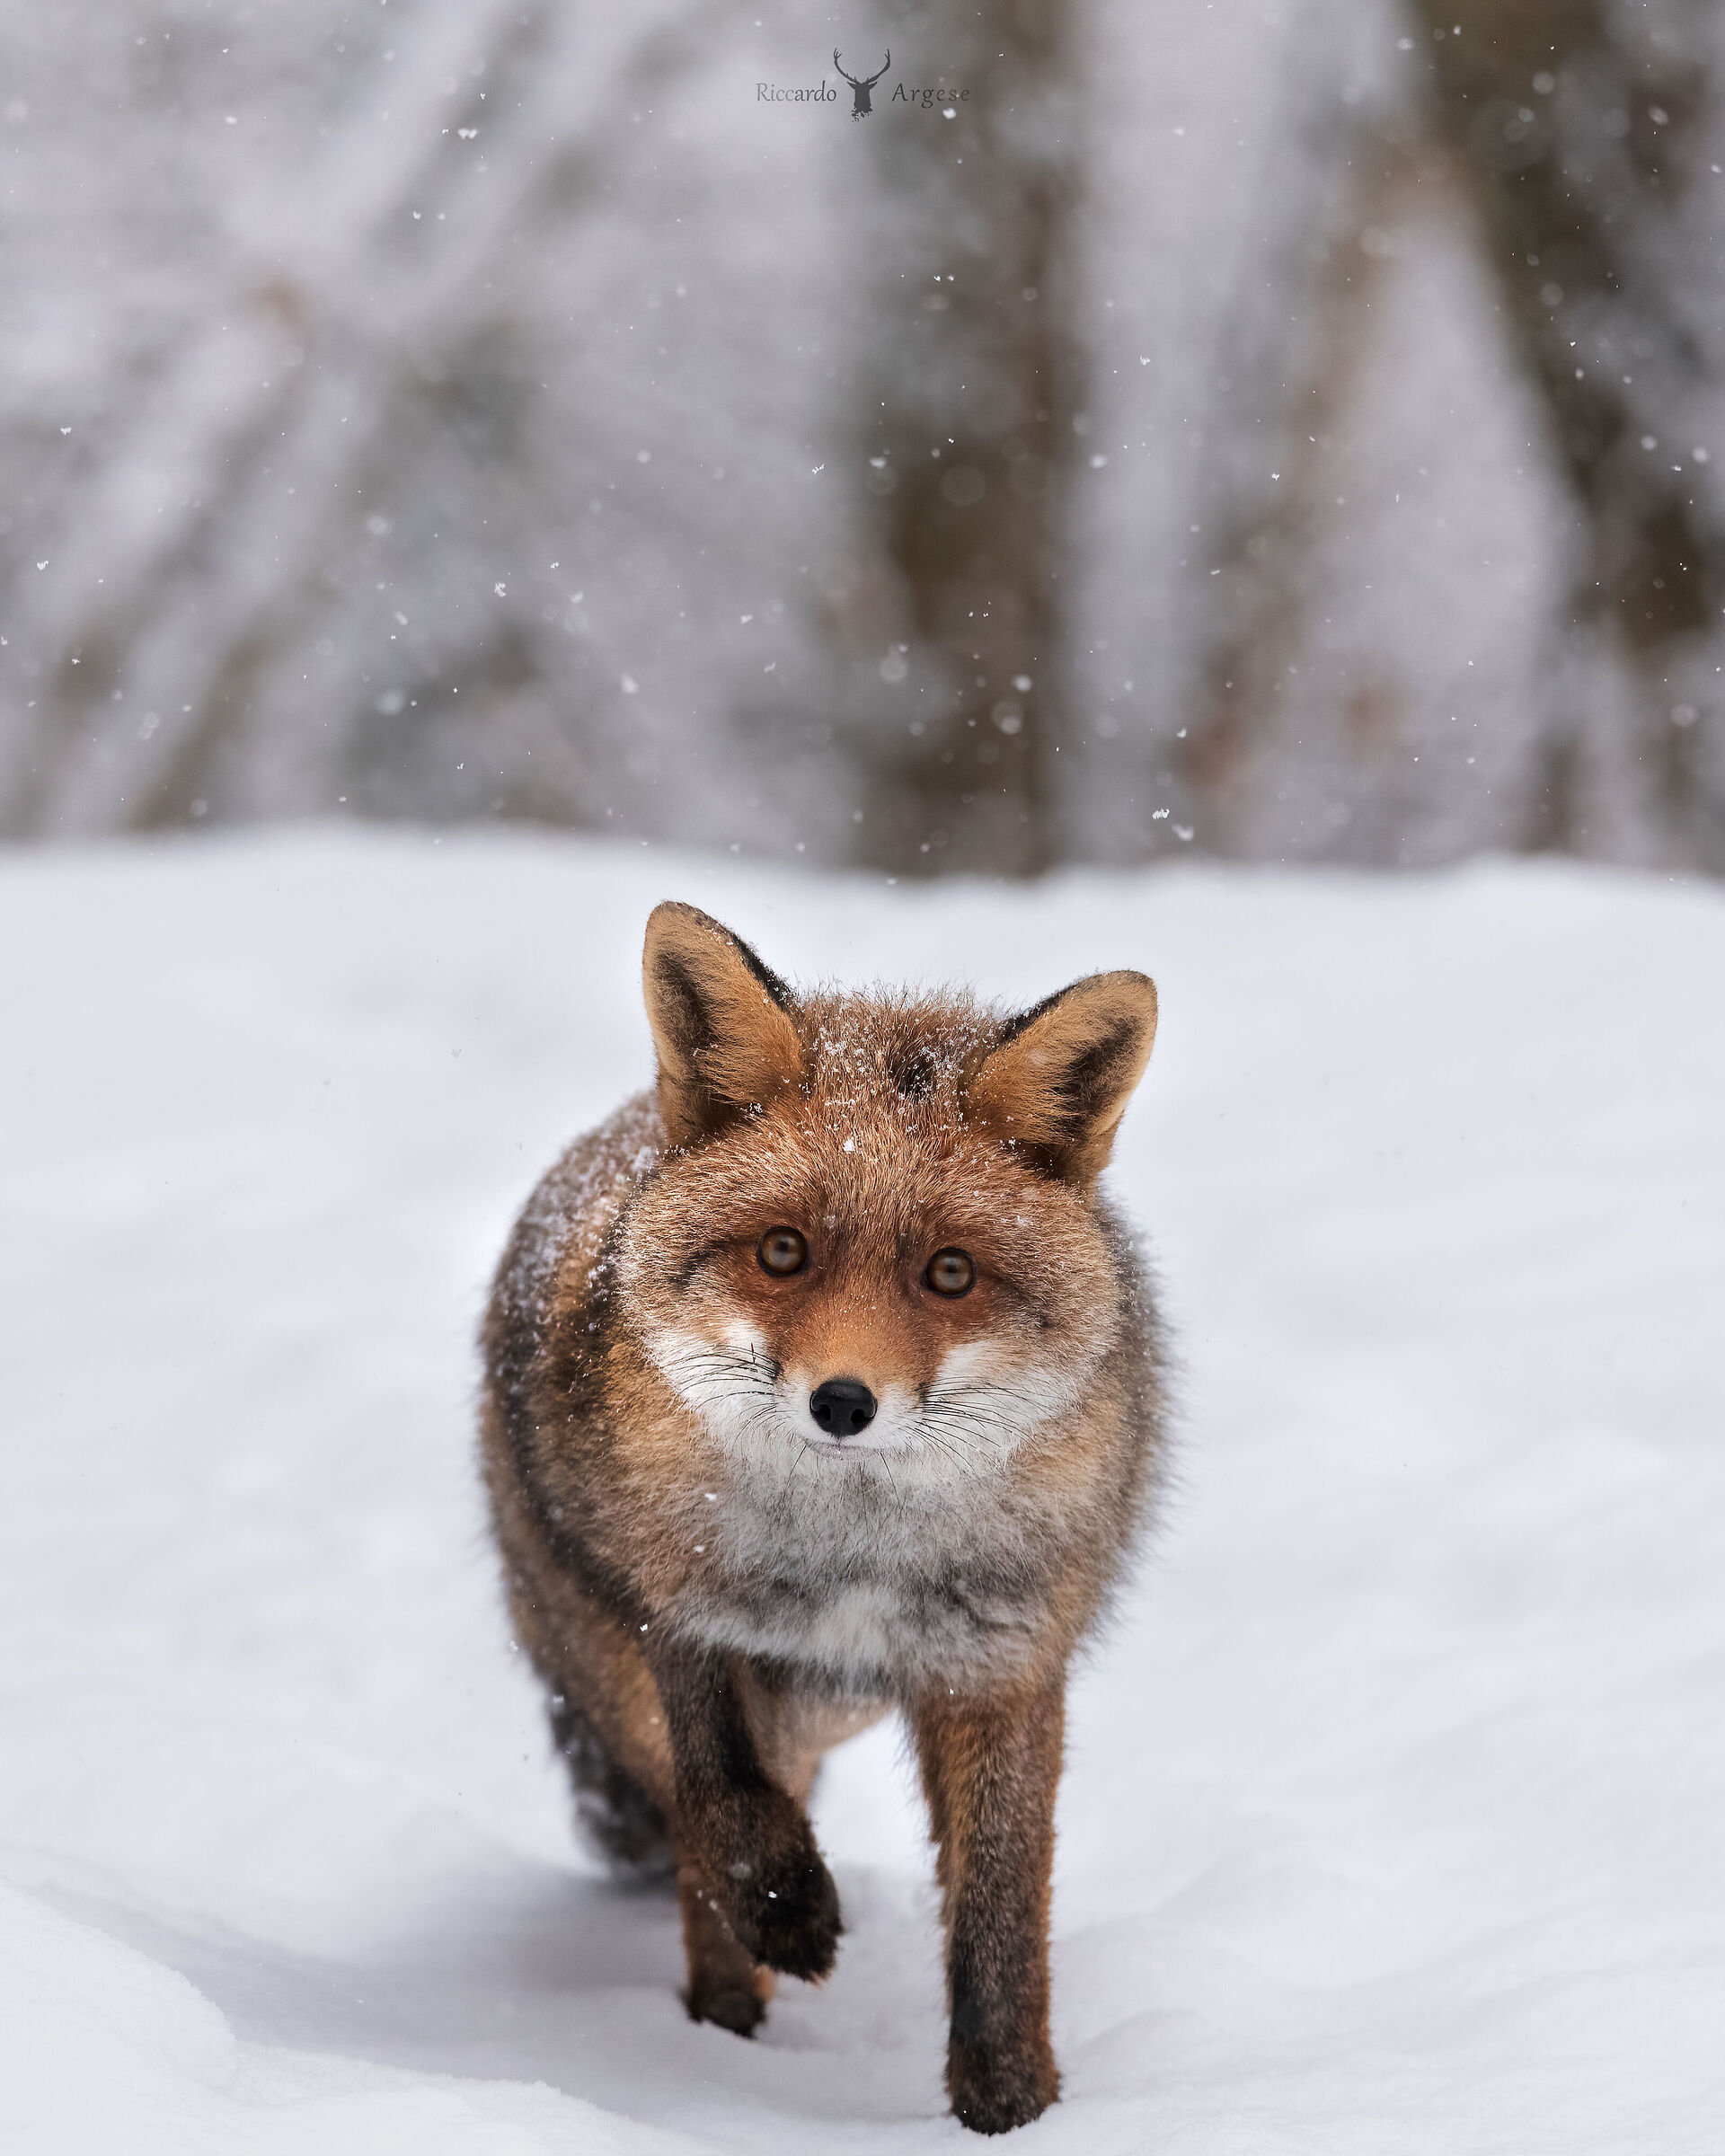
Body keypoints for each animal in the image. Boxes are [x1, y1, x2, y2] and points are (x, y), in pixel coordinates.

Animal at [479, 901, 1166, 2135]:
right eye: (783, 1251)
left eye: (951, 1273)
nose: (843, 1403)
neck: (856, 1558)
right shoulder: (685, 1613)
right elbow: (724, 1797)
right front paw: (783, 1910)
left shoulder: (1002, 1662)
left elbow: (1000, 1916)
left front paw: (1013, 2108)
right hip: (619, 1669)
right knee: (693, 1843)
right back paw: (724, 2037)